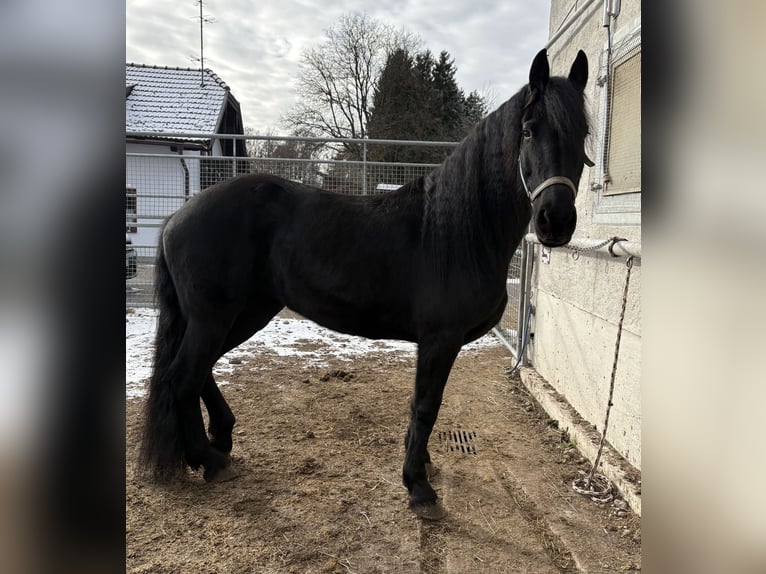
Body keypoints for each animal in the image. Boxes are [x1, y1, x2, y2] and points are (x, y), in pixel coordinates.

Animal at [139, 49, 592, 520]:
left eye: (583, 134)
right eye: (528, 130)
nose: (556, 221)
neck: (457, 232)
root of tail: (178, 216)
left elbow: (421, 406)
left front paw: (422, 462)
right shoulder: (439, 339)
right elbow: (426, 405)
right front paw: (419, 487)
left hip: (243, 314)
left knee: (199, 371)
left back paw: (219, 442)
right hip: (215, 318)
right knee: (183, 377)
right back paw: (208, 460)